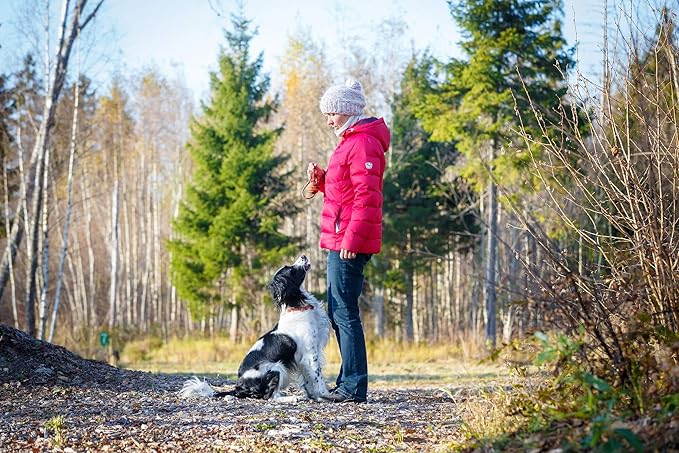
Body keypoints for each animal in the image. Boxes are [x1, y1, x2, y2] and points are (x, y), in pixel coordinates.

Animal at [179, 256, 330, 400]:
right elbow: (318, 377)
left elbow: (309, 380)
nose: (304, 256)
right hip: (276, 367)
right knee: (270, 396)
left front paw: (313, 394)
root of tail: (238, 388)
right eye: (291, 269)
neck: (296, 305)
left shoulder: (305, 358)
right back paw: (292, 398)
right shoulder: (310, 354)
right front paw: (325, 395)